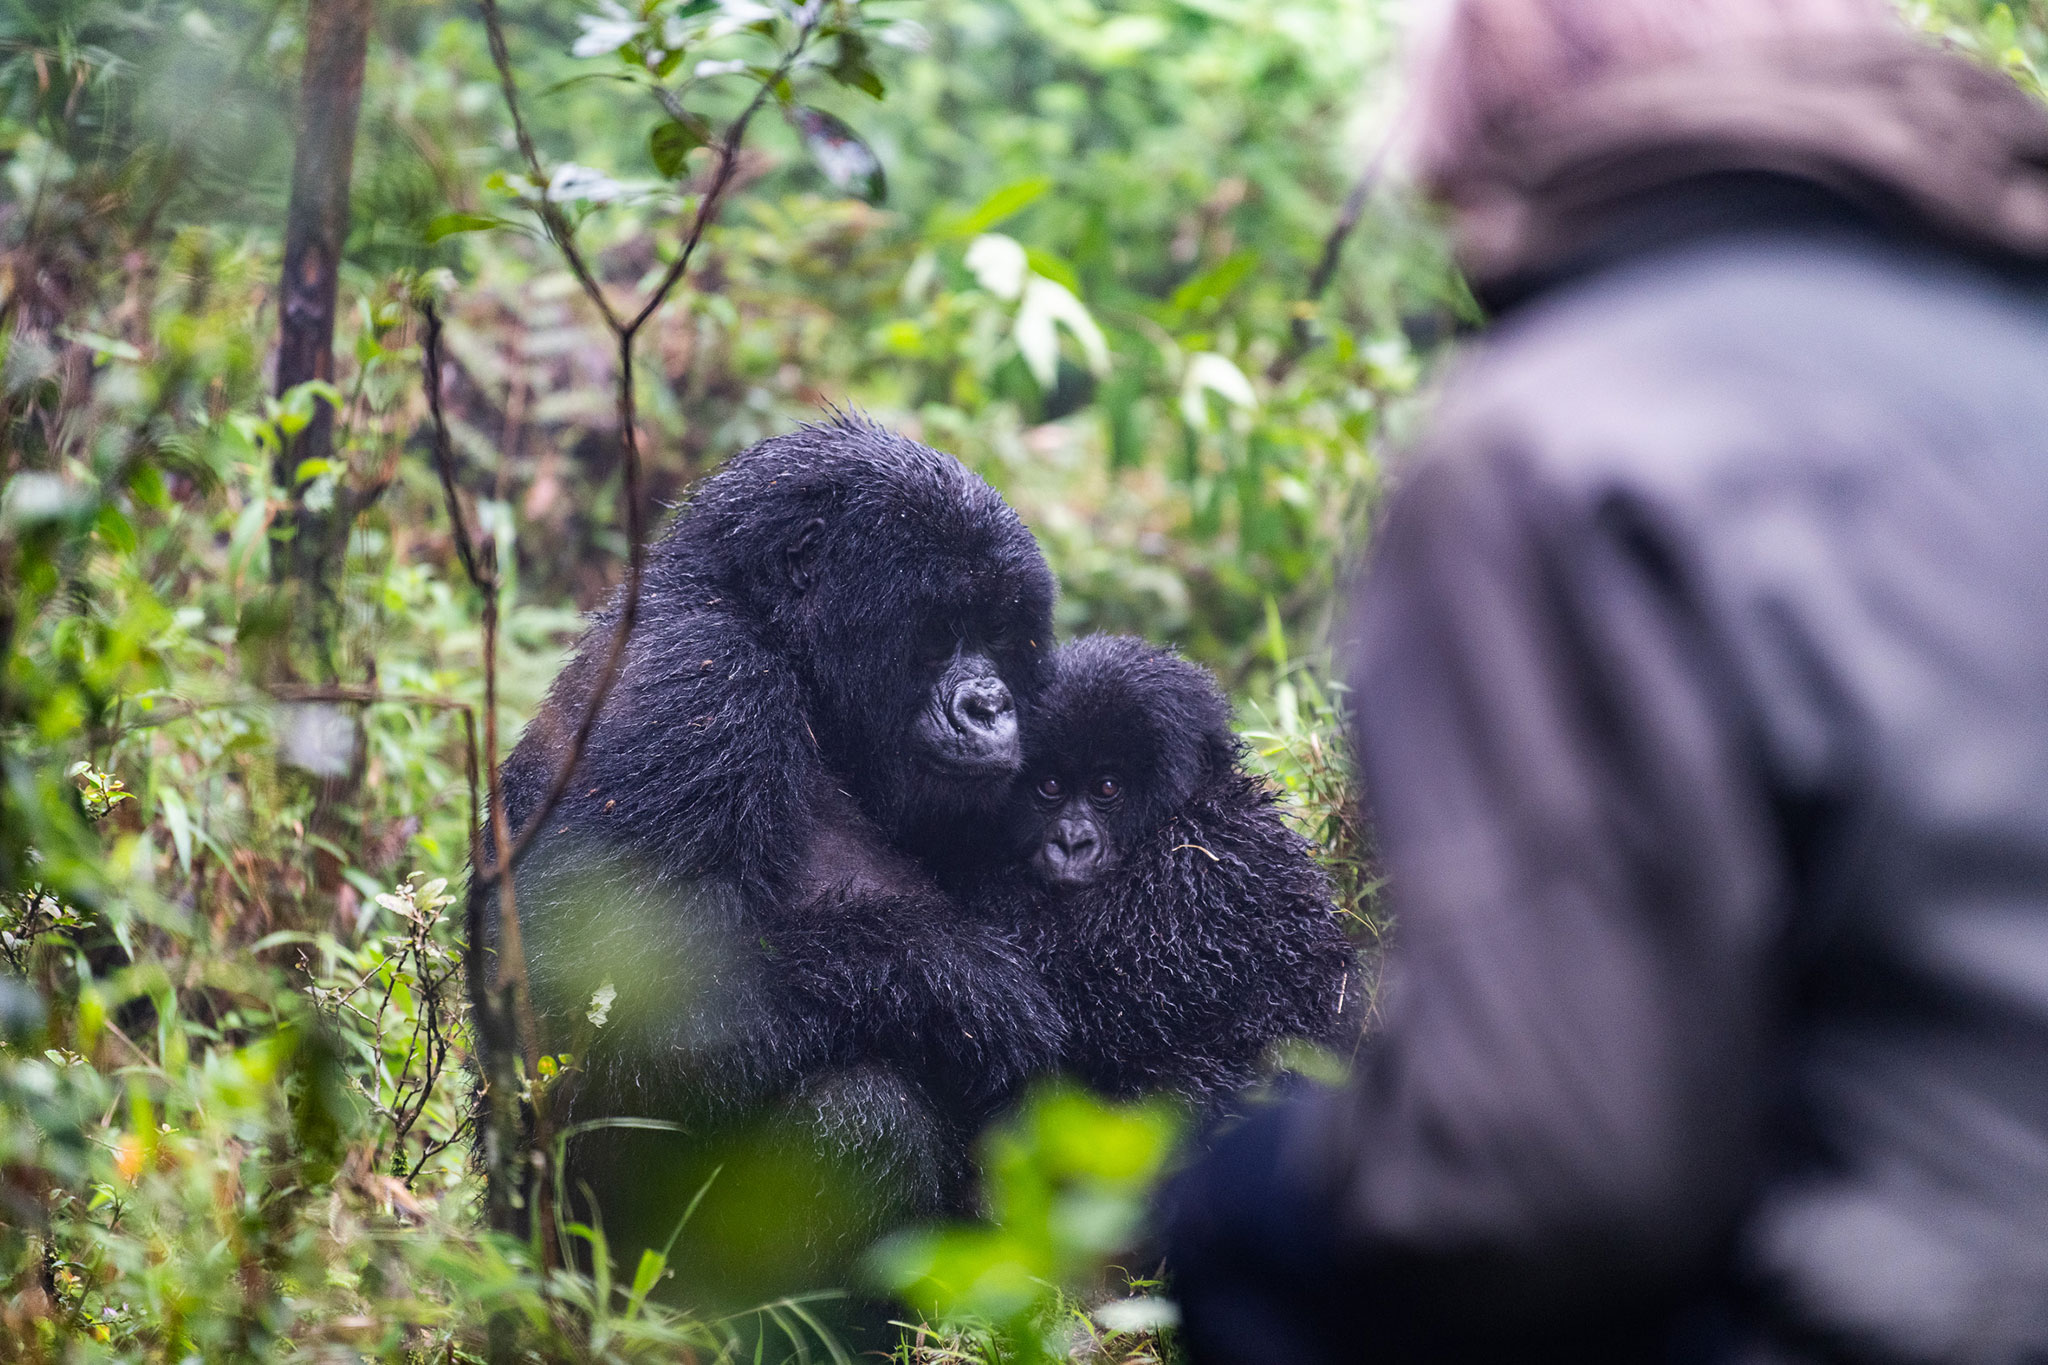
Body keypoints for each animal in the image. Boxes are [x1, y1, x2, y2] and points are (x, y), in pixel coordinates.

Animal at [473, 419, 1064, 1309]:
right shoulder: (699, 690)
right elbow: (589, 1008)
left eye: (999, 632)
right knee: (868, 1116)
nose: (989, 704)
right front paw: (970, 983)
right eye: (936, 633)